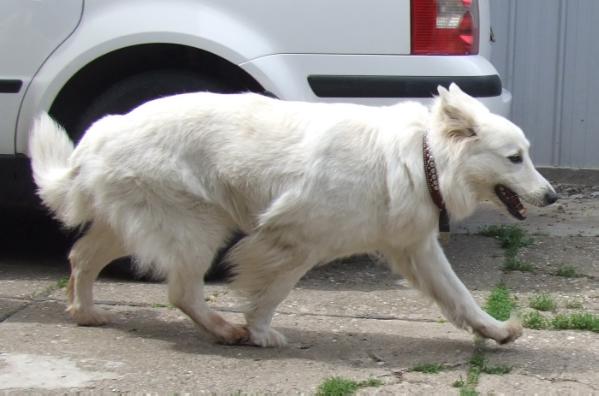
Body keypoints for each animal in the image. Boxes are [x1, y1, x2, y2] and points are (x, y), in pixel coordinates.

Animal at [29, 83, 556, 346]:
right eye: (515, 158)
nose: (552, 196)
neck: (423, 157)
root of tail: (104, 130)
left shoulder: (416, 249)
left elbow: (460, 297)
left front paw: (494, 330)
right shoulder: (294, 241)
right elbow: (272, 292)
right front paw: (260, 333)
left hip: (134, 224)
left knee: (80, 257)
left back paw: (85, 312)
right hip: (197, 229)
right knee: (181, 291)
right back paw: (223, 330)